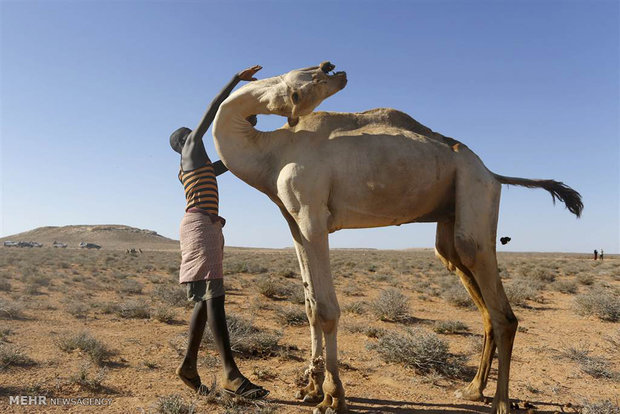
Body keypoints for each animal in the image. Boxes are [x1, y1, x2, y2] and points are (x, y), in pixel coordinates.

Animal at [212, 62, 580, 414]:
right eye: (311, 79)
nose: (332, 67)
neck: (270, 153)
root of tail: (493, 173)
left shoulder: (312, 217)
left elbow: (327, 310)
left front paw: (333, 398)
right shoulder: (296, 221)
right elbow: (311, 306)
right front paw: (311, 389)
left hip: (474, 191)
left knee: (497, 301)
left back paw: (501, 404)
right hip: (451, 219)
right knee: (475, 292)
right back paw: (472, 390)